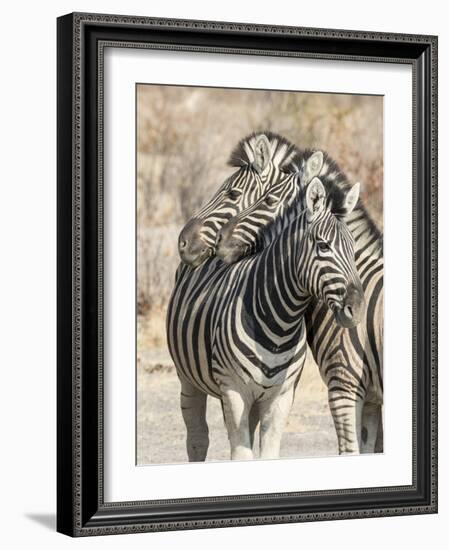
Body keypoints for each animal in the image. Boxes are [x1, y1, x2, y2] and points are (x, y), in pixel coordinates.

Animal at [166, 176, 362, 462]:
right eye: (323, 246)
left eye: (354, 249)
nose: (357, 308)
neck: (280, 321)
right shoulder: (234, 390)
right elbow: (240, 454)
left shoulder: (281, 396)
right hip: (188, 379)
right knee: (197, 438)